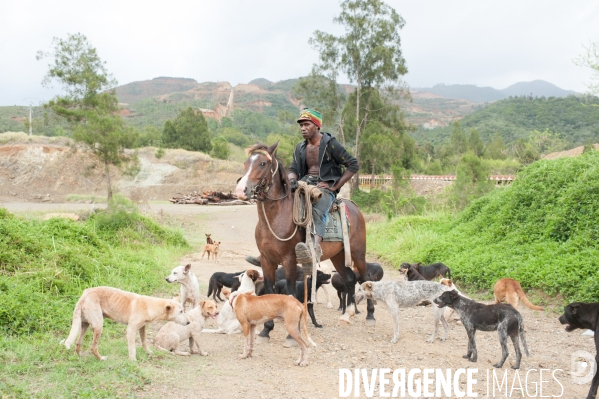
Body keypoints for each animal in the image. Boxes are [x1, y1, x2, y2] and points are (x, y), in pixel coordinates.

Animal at [236, 142, 372, 342]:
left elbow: (291, 292)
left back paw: (370, 314)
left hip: (358, 252)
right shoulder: (267, 260)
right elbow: (269, 291)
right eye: (246, 163)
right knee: (349, 279)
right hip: (338, 256)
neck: (276, 217)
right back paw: (347, 313)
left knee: (365, 278)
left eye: (262, 163)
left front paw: (291, 335)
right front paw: (266, 330)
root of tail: (354, 208)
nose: (241, 190)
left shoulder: (289, 260)